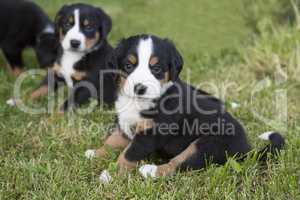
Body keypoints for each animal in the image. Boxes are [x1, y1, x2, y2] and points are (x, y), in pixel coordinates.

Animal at [84, 34, 284, 183]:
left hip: (205, 145)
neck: (139, 101)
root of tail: (246, 150)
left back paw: (150, 170)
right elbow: (111, 141)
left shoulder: (150, 134)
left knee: (178, 164)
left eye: (156, 68)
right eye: (128, 66)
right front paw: (96, 153)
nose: (139, 88)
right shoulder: (125, 124)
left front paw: (110, 175)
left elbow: (128, 155)